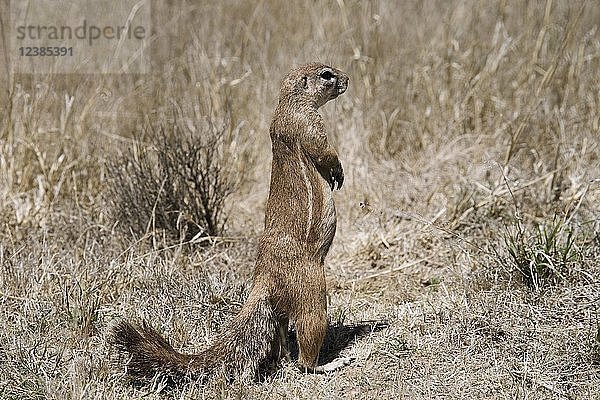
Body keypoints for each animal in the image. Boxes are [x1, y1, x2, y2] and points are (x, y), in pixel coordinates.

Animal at [110, 61, 350, 382]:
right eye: (327, 74)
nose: (347, 79)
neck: (288, 105)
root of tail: (263, 278)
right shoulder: (308, 124)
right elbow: (325, 151)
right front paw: (338, 172)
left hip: (283, 308)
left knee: (282, 336)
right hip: (312, 291)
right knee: (306, 347)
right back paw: (327, 363)